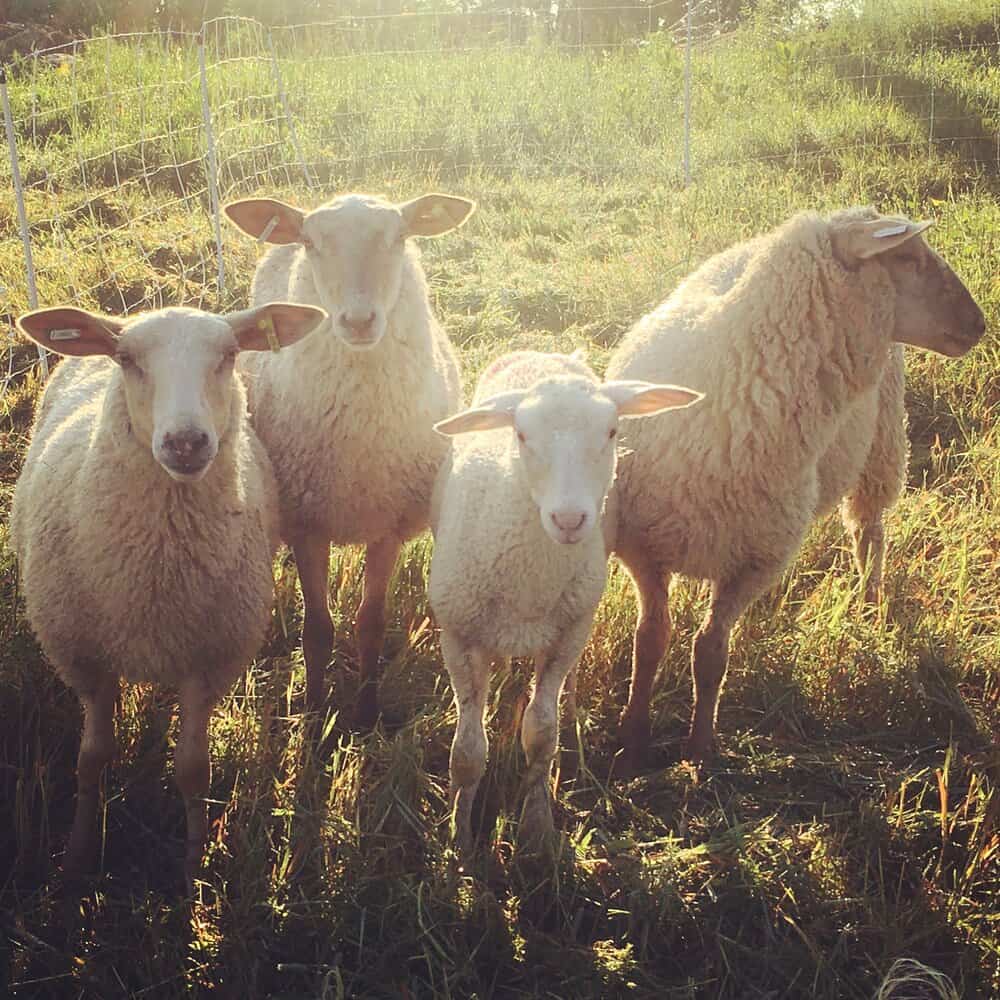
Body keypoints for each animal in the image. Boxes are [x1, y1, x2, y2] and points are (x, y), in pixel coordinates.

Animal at [10, 301, 327, 885]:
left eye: (229, 354)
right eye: (127, 359)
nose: (186, 442)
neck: (158, 576)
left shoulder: (209, 661)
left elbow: (193, 770)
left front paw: (192, 869)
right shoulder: (84, 657)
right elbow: (92, 758)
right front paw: (79, 858)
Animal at [223, 191, 475, 727]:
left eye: (399, 237)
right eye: (312, 242)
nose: (358, 322)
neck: (358, 440)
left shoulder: (388, 525)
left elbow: (370, 623)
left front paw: (364, 713)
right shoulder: (307, 524)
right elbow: (318, 631)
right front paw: (316, 715)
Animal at [429, 350, 701, 854]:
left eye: (612, 431)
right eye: (520, 434)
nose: (570, 519)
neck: (529, 580)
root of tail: (543, 354)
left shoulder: (564, 635)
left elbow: (541, 735)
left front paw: (537, 831)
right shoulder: (459, 636)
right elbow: (467, 752)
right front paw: (459, 839)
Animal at [605, 206, 986, 767]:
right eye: (908, 258)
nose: (979, 325)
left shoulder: (755, 561)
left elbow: (709, 653)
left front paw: (700, 750)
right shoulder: (643, 548)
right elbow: (650, 640)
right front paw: (632, 740)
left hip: (883, 444)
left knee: (868, 531)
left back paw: (869, 604)